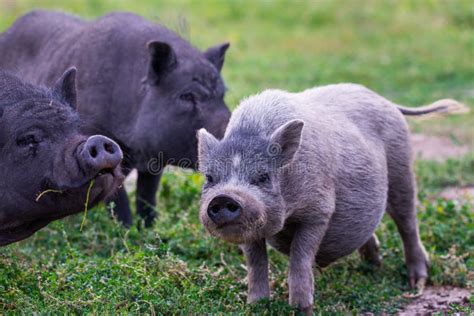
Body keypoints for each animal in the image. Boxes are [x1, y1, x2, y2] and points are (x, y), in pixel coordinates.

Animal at [0, 9, 231, 227]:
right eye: (187, 96)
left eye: (222, 94)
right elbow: (118, 197)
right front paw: (127, 230)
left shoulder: (154, 162)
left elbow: (147, 196)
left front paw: (149, 228)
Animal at [196, 83, 466, 312]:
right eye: (209, 177)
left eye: (262, 176)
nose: (223, 198)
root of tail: (385, 100)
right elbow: (256, 262)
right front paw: (256, 306)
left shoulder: (319, 210)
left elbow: (301, 256)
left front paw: (302, 308)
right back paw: (373, 265)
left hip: (402, 168)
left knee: (407, 222)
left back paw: (416, 283)